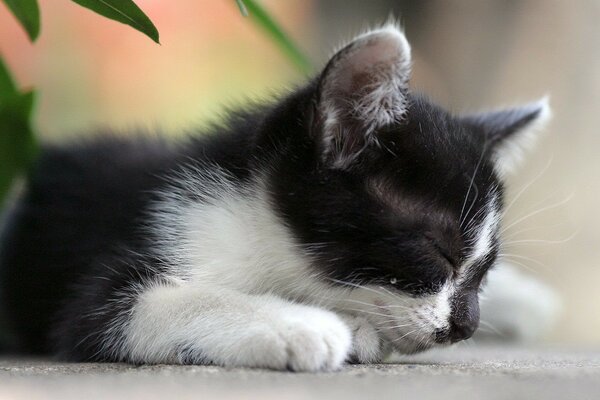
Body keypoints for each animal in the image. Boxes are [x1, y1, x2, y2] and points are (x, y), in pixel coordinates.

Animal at [0, 25, 548, 372]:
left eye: (484, 269)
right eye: (439, 251)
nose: (466, 326)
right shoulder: (116, 271)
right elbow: (146, 304)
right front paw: (301, 324)